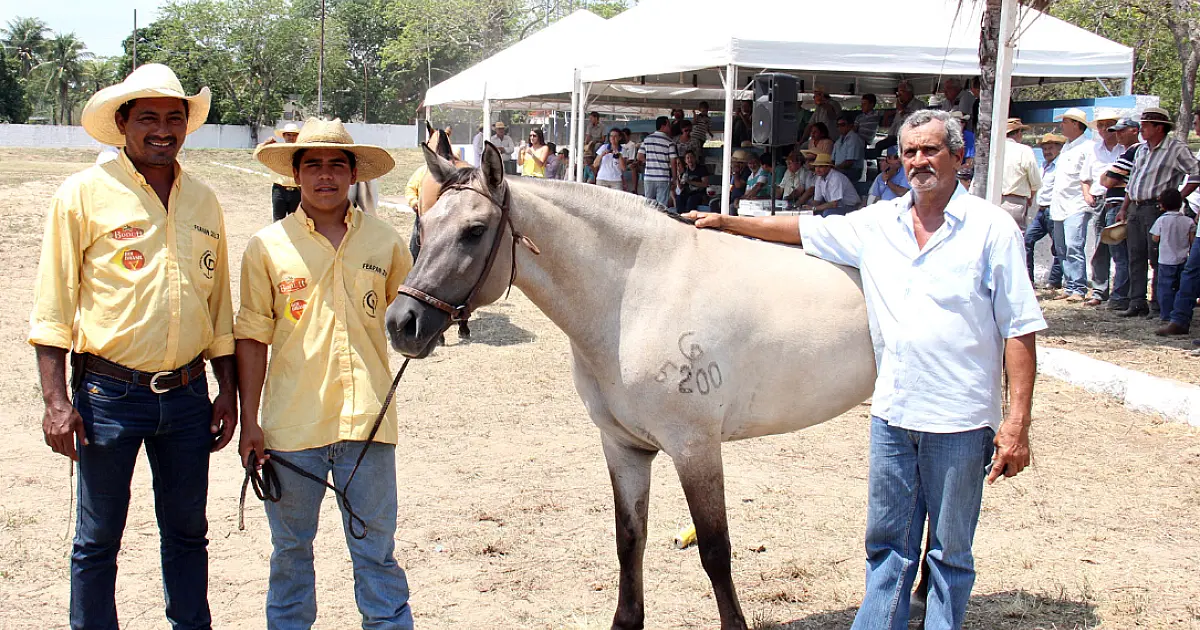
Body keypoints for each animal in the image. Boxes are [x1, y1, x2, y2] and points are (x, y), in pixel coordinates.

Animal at [385, 143, 878, 630]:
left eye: (474, 231)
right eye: (424, 224)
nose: (402, 324)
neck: (639, 294)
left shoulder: (695, 448)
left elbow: (715, 551)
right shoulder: (623, 447)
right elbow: (629, 539)